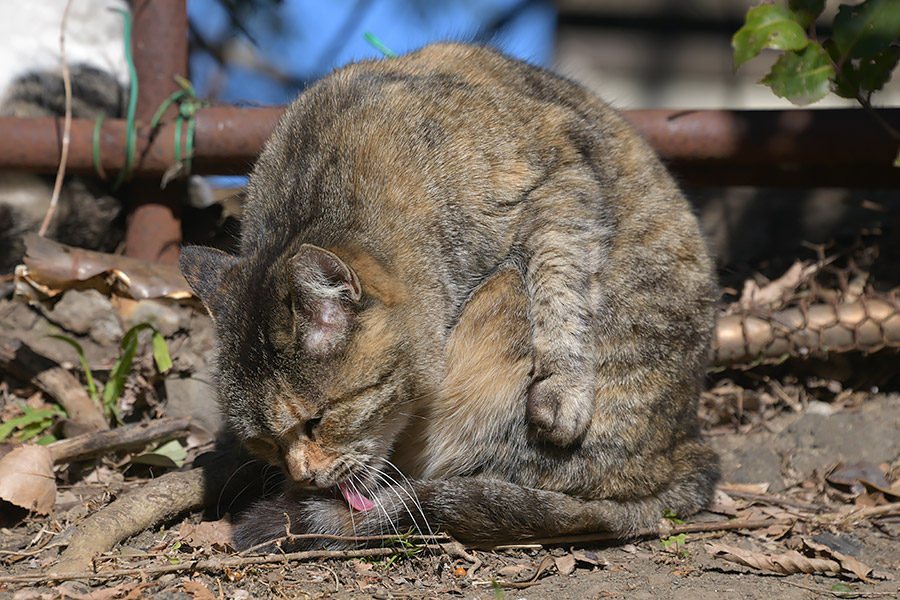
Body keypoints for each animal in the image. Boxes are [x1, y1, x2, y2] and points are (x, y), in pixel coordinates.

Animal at [179, 43, 720, 548]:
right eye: (263, 442)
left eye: (317, 421)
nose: (303, 477)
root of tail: (687, 454)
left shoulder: (563, 180)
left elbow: (561, 280)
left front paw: (562, 388)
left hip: (509, 300)